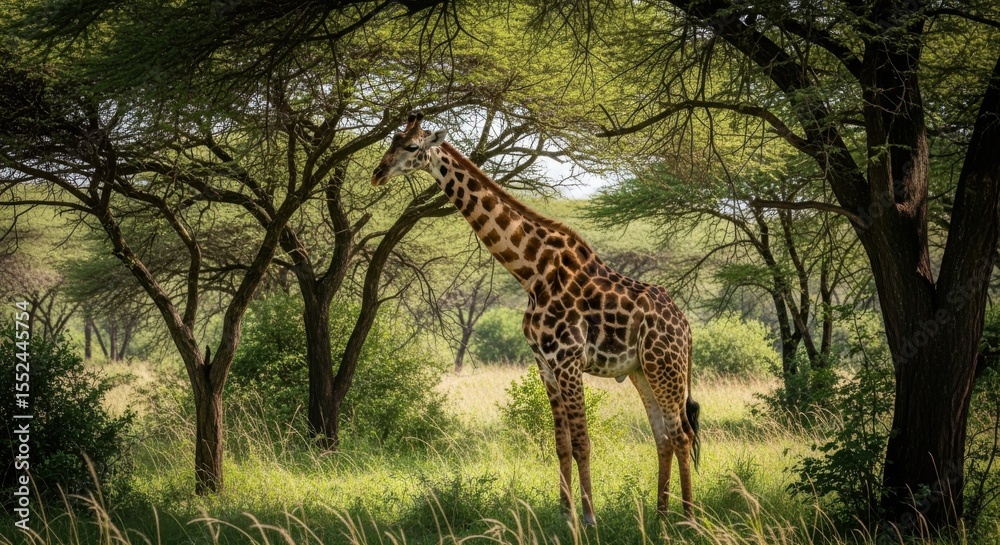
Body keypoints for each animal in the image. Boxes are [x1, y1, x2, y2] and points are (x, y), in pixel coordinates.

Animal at [371, 112, 700, 524]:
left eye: (412, 146)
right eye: (391, 141)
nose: (377, 173)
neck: (532, 272)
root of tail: (686, 326)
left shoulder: (568, 359)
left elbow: (583, 442)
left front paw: (589, 518)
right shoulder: (544, 363)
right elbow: (561, 444)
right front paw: (565, 513)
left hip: (664, 366)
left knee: (682, 434)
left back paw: (689, 518)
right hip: (642, 370)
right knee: (663, 436)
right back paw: (660, 515)